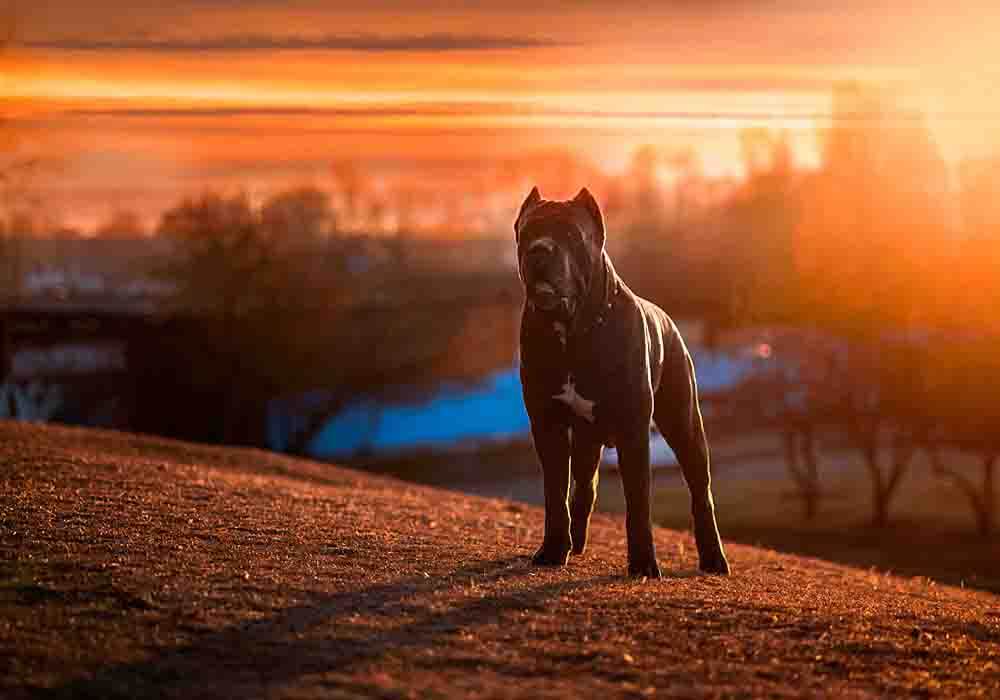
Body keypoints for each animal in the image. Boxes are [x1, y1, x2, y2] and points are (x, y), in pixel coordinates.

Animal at [516, 187, 728, 580]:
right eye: (528, 232)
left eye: (571, 234)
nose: (539, 249)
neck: (573, 331)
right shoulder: (548, 425)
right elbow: (555, 493)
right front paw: (552, 550)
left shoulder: (634, 432)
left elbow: (638, 503)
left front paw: (643, 564)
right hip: (587, 441)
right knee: (584, 488)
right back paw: (575, 543)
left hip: (685, 426)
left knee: (700, 492)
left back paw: (713, 559)